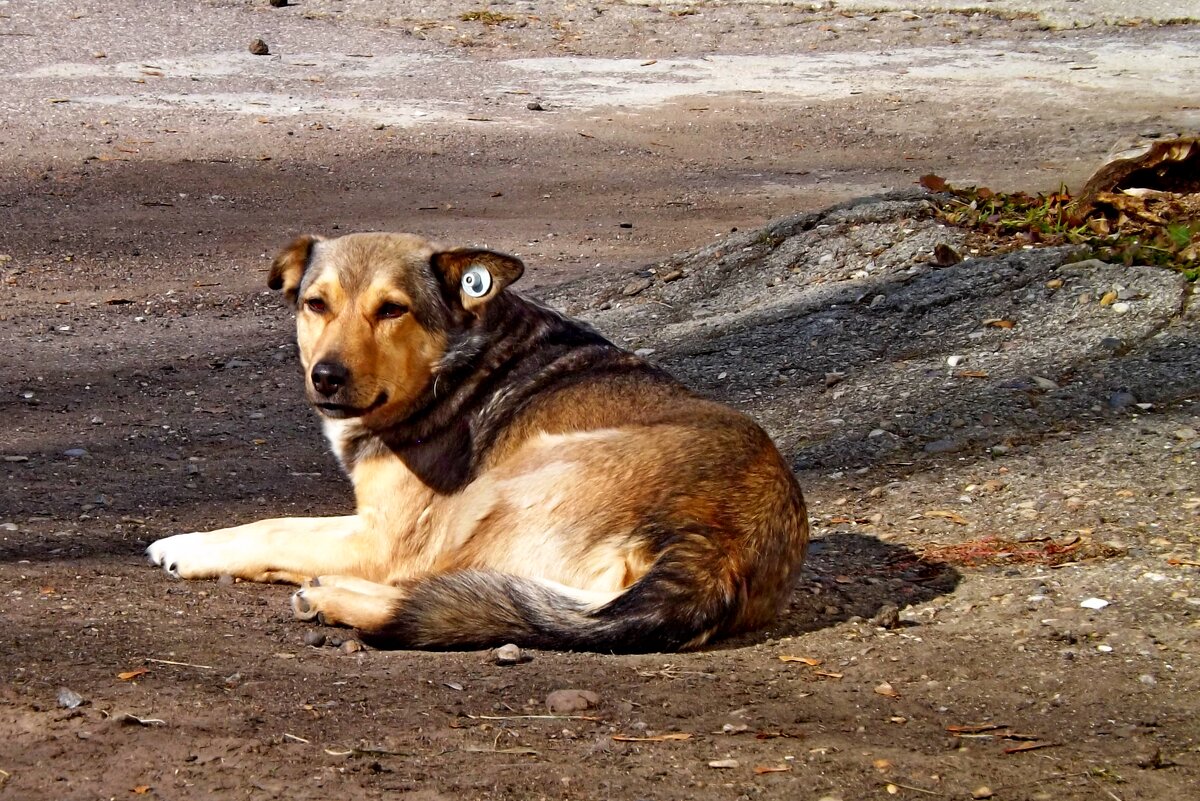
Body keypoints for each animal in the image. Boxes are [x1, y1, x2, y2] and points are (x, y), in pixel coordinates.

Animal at [147, 232, 806, 652]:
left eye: (392, 310)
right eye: (316, 304)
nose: (326, 377)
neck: (452, 365)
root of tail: (721, 541)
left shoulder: (387, 538)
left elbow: (272, 526)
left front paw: (186, 546)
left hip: (502, 486)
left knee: (434, 589)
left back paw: (337, 596)